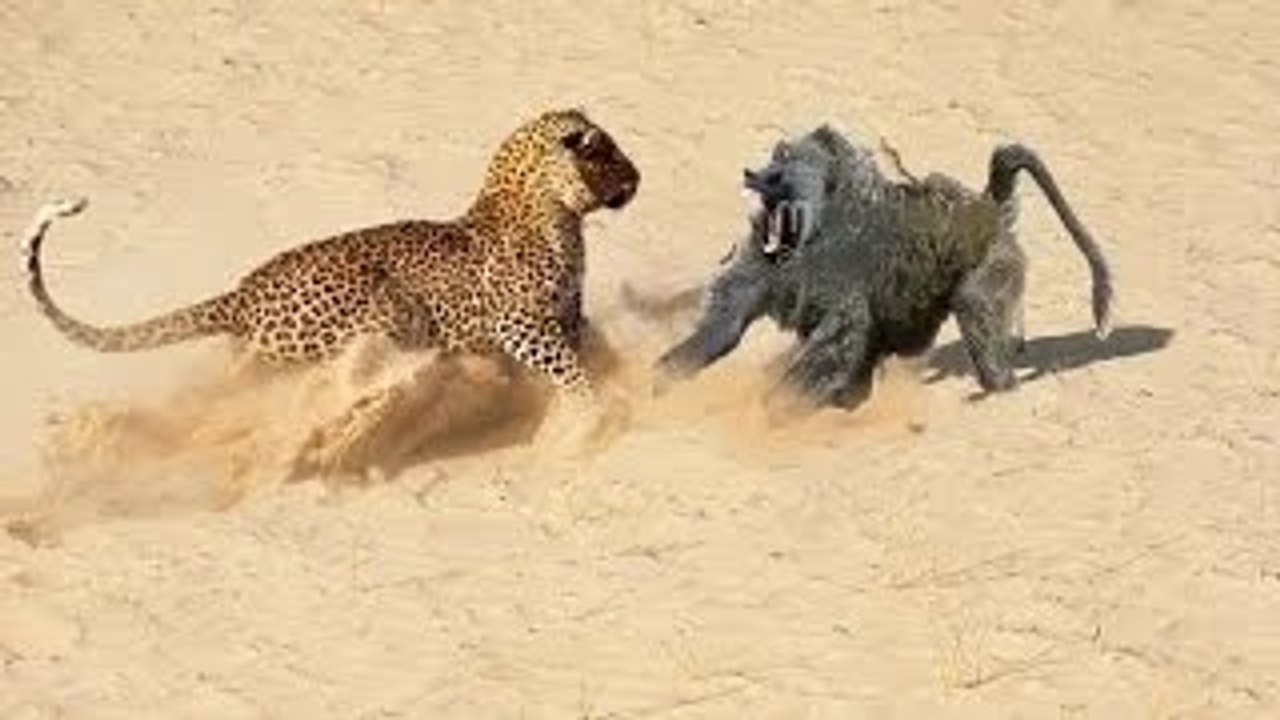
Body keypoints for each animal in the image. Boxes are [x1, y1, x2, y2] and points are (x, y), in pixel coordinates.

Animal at [22, 109, 641, 399]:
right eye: (606, 153)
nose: (637, 179)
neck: (557, 215)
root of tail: (241, 294)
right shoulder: (520, 322)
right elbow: (568, 370)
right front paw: (591, 410)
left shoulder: (567, 312)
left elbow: (585, 351)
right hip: (382, 311)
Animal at [655, 124, 1113, 416]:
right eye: (778, 154)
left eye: (788, 162)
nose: (754, 174)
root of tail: (987, 212)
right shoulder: (765, 264)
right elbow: (726, 325)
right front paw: (660, 376)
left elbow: (837, 340)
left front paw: (770, 409)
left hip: (995, 264)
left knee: (973, 306)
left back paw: (1000, 391)